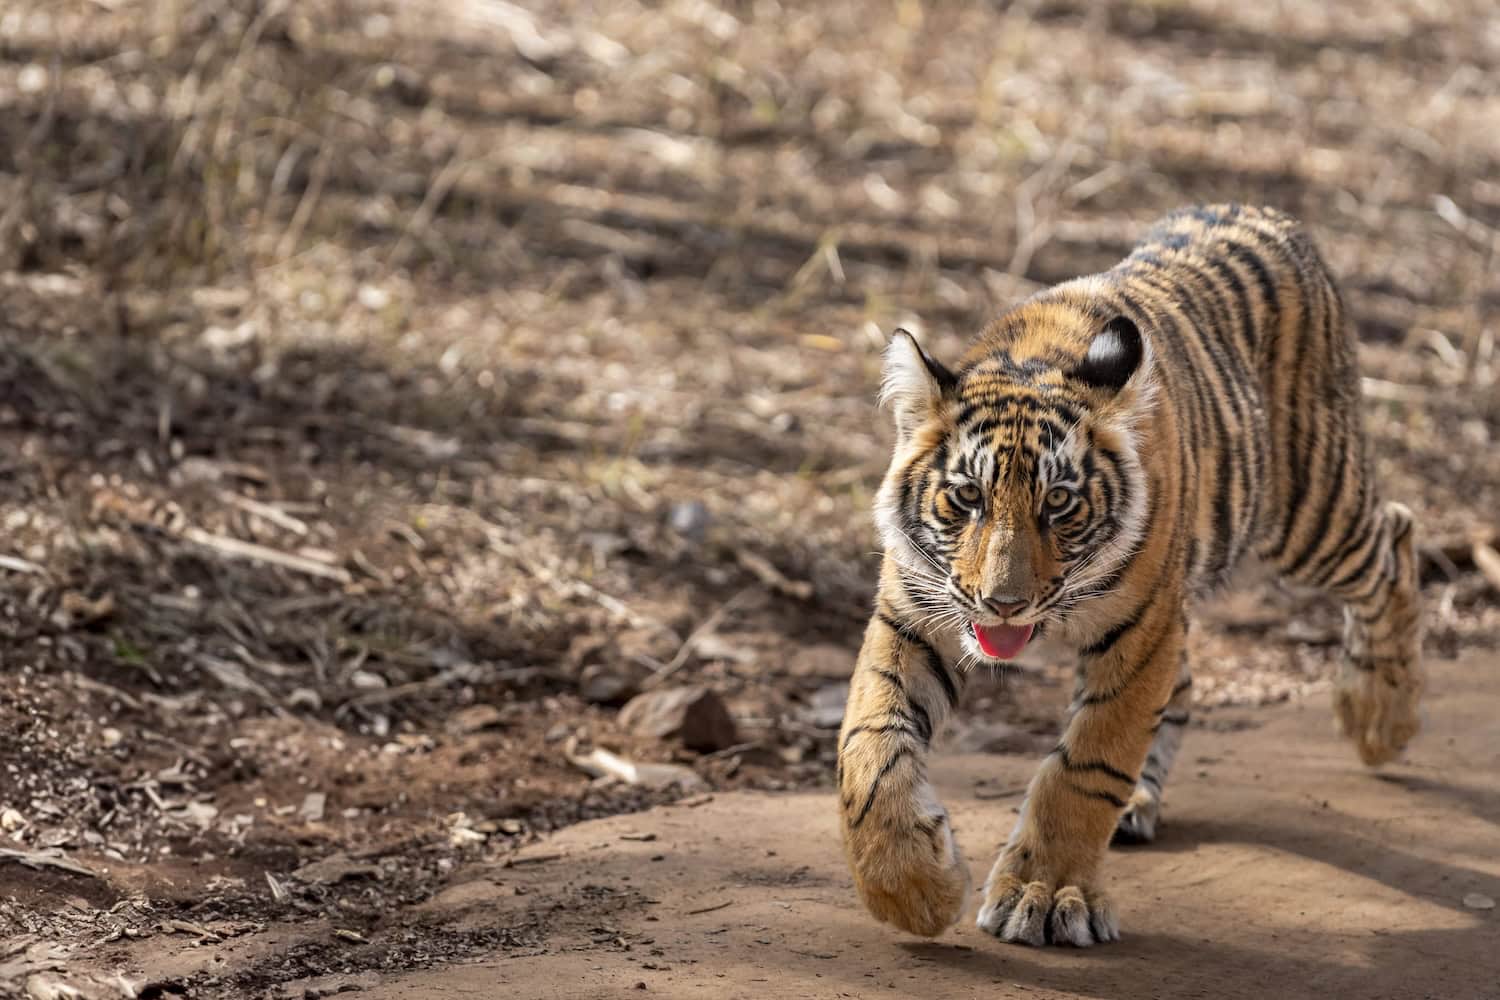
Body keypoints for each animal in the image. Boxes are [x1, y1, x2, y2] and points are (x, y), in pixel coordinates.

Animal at [835, 203, 1423, 947]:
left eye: (1059, 503)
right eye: (967, 497)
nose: (1004, 604)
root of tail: (1269, 213)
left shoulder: (1139, 633)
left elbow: (1087, 765)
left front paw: (1044, 894)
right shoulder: (913, 617)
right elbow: (870, 747)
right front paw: (911, 890)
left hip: (1310, 511)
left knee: (1394, 540)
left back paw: (1379, 717)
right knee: (1189, 682)